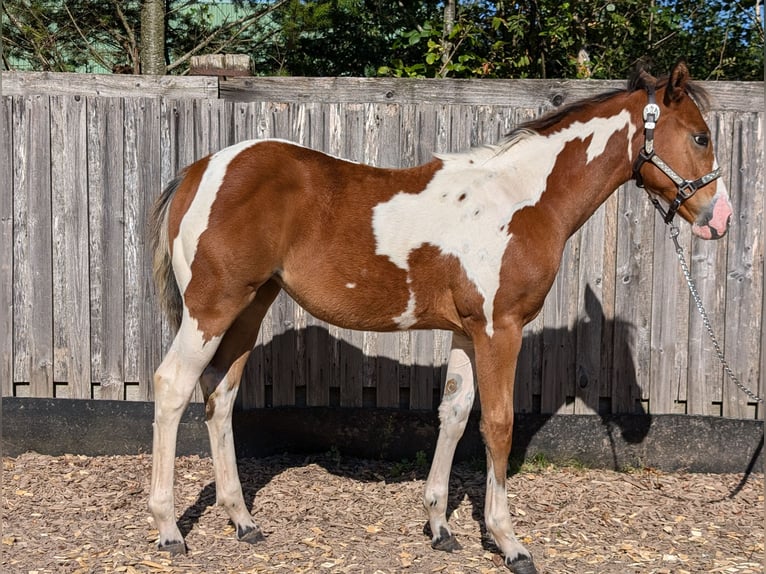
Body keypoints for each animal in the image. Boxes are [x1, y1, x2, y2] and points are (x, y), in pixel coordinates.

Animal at [148, 60, 732, 572]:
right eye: (700, 137)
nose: (720, 219)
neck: (521, 201)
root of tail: (197, 171)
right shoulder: (500, 330)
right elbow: (498, 424)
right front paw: (508, 542)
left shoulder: (467, 333)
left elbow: (453, 414)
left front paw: (440, 527)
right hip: (211, 308)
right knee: (172, 386)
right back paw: (170, 529)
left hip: (249, 308)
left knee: (220, 396)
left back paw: (243, 521)